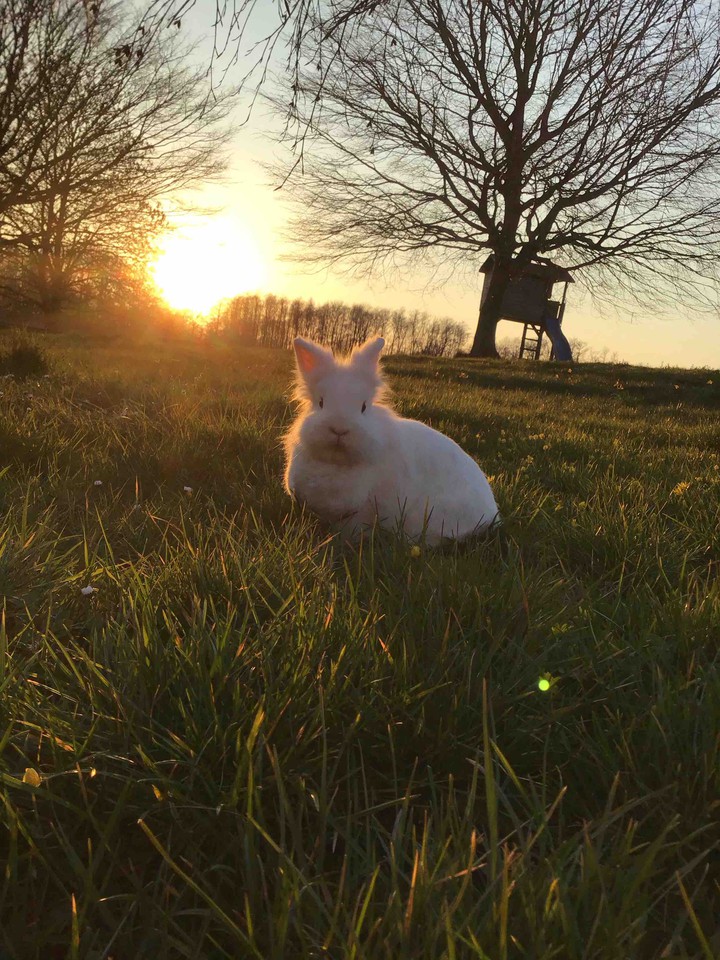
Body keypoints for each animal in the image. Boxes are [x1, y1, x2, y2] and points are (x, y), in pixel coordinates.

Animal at [283, 336, 500, 545]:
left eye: (363, 407)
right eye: (320, 403)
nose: (339, 429)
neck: (337, 462)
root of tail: (491, 515)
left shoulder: (362, 514)